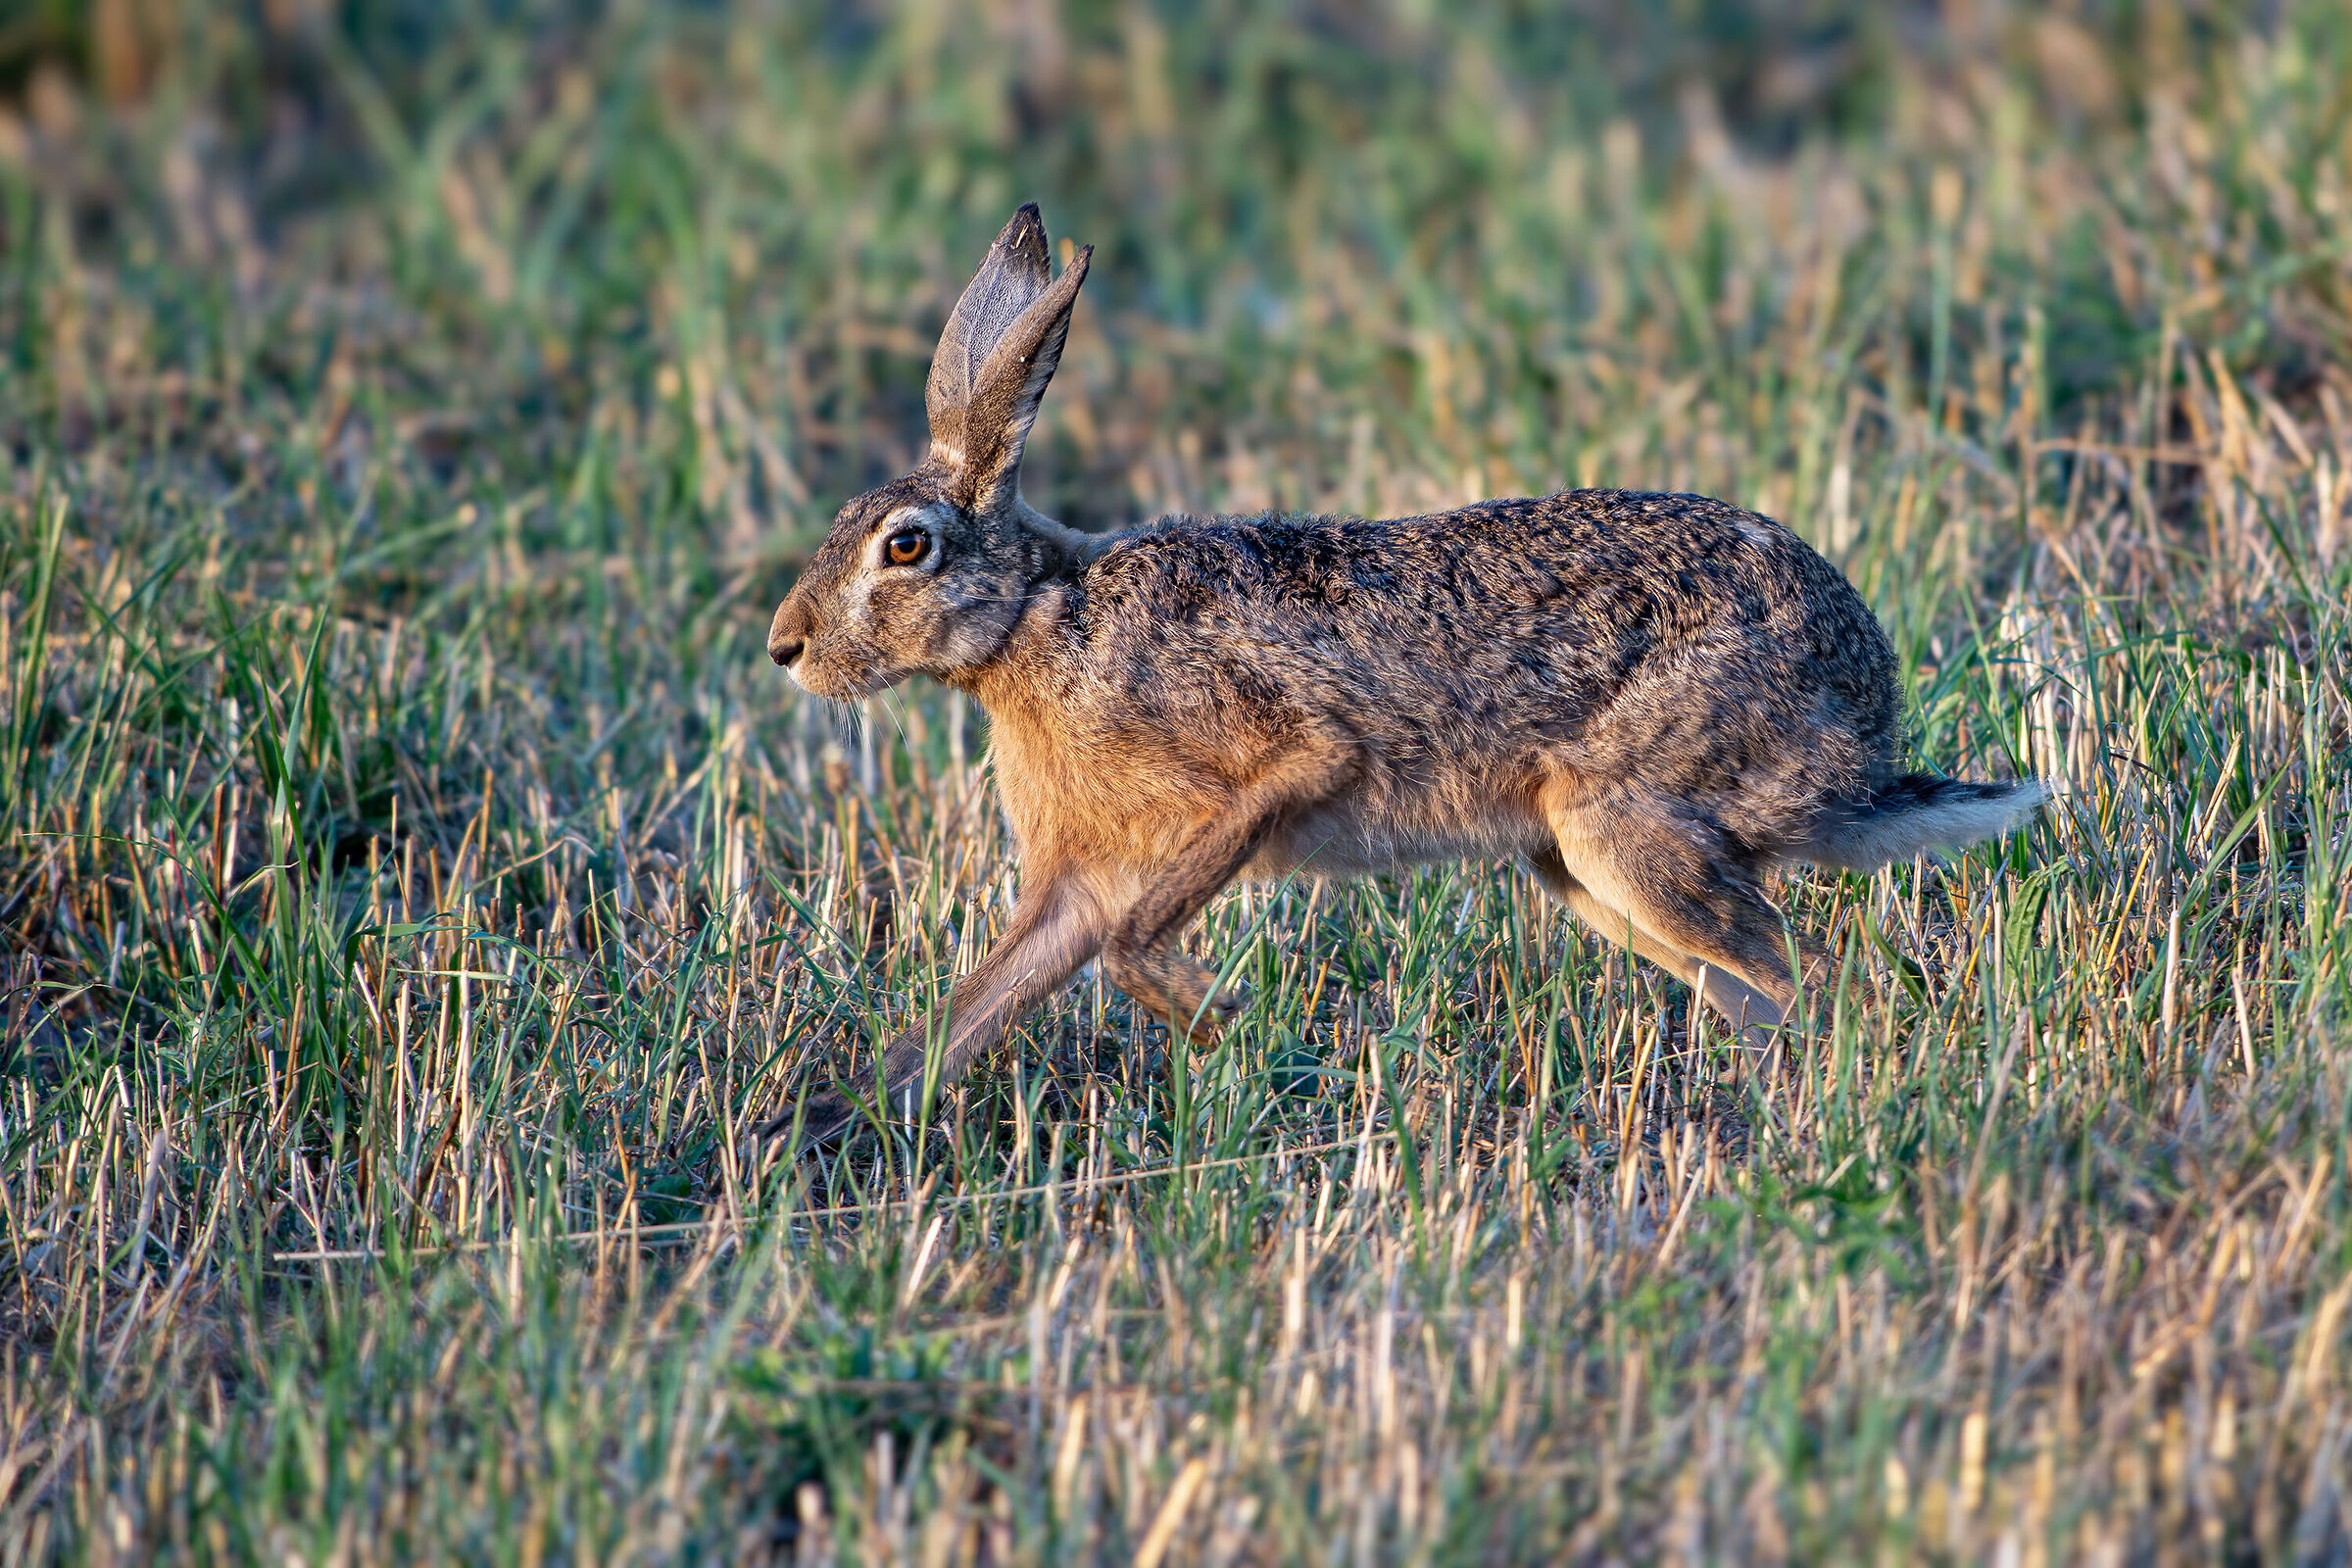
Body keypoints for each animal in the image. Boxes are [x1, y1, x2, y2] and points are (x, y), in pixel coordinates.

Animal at [759, 203, 2042, 1143]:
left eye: (906, 546)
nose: (786, 648)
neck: (1038, 623)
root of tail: (1862, 730)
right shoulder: (1073, 885)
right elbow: (966, 1014)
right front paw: (806, 1128)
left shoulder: (1281, 763)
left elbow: (1135, 942)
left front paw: (1232, 1025)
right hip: (1586, 868)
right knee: (1765, 994)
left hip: (1628, 827)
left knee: (1825, 978)